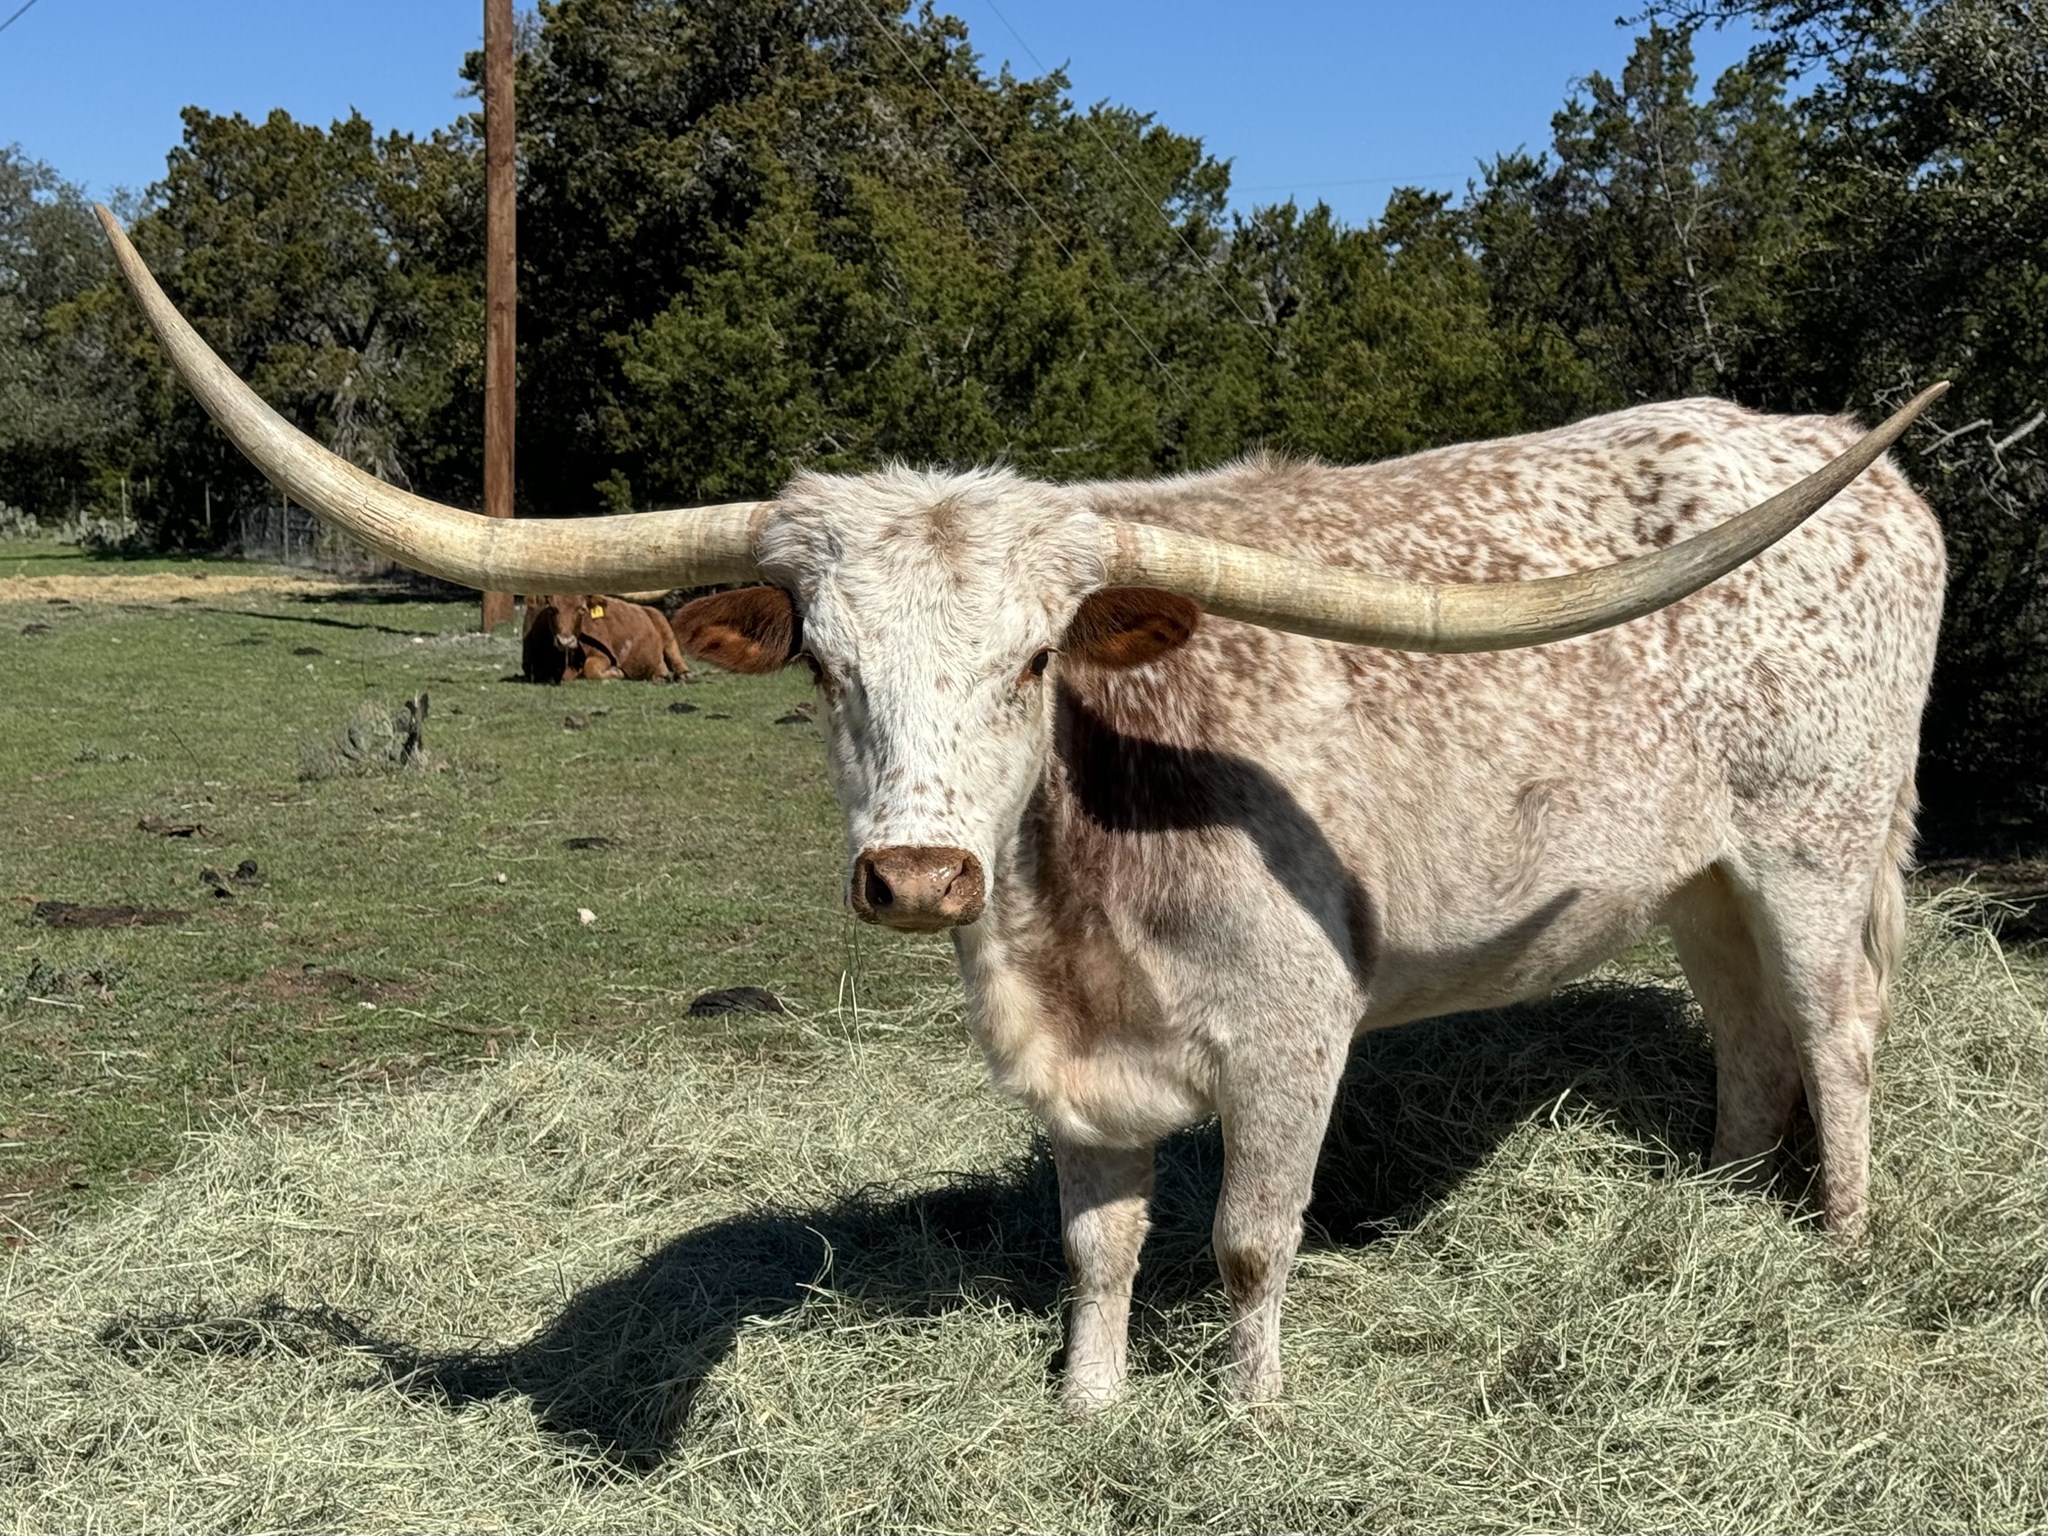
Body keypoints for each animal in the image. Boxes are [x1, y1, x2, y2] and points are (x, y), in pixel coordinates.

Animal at [521, 592, 689, 682]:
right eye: (552, 608)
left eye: (582, 609)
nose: (565, 641)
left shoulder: (603, 656)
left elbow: (590, 668)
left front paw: (617, 672)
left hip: (666, 629)